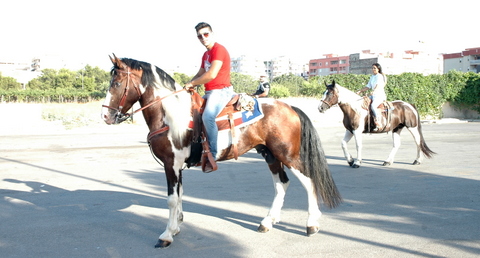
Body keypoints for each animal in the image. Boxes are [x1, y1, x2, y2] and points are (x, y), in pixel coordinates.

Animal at [101, 55, 342, 249]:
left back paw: (311, 224)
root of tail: (290, 107)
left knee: (308, 181)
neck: (170, 114)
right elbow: (179, 196)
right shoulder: (177, 166)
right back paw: (267, 222)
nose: (105, 116)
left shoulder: (171, 164)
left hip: (288, 155)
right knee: (281, 184)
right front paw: (176, 227)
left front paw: (167, 235)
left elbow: (171, 199)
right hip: (270, 154)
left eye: (117, 82)